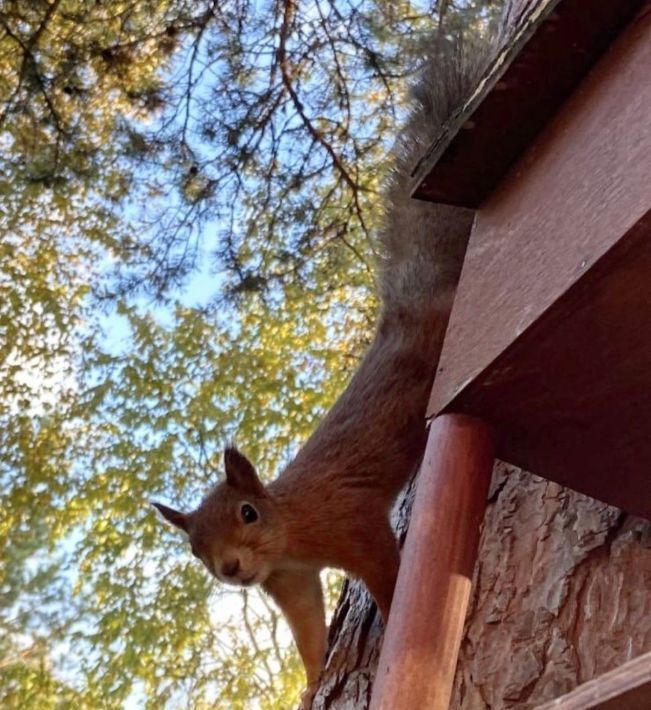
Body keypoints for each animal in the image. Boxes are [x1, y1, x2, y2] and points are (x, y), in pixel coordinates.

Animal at [153, 37, 488, 708]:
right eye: (195, 550)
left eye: (247, 514)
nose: (232, 570)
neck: (289, 535)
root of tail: (409, 308)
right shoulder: (292, 581)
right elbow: (308, 632)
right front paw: (310, 682)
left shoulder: (349, 522)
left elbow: (386, 570)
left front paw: (391, 621)